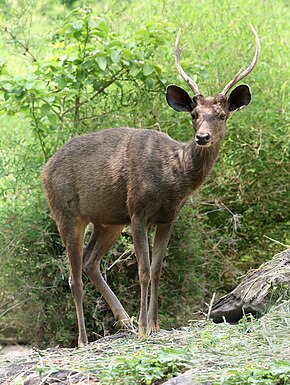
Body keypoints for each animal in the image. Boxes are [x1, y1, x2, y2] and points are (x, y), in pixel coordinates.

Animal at [41, 25, 260, 346]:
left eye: (222, 115)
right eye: (194, 115)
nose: (202, 137)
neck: (173, 178)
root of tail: (44, 169)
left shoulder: (168, 217)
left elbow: (157, 270)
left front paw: (154, 325)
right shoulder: (138, 211)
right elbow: (143, 270)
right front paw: (145, 328)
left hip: (107, 220)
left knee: (90, 262)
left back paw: (125, 320)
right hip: (66, 212)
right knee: (74, 275)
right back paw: (84, 339)